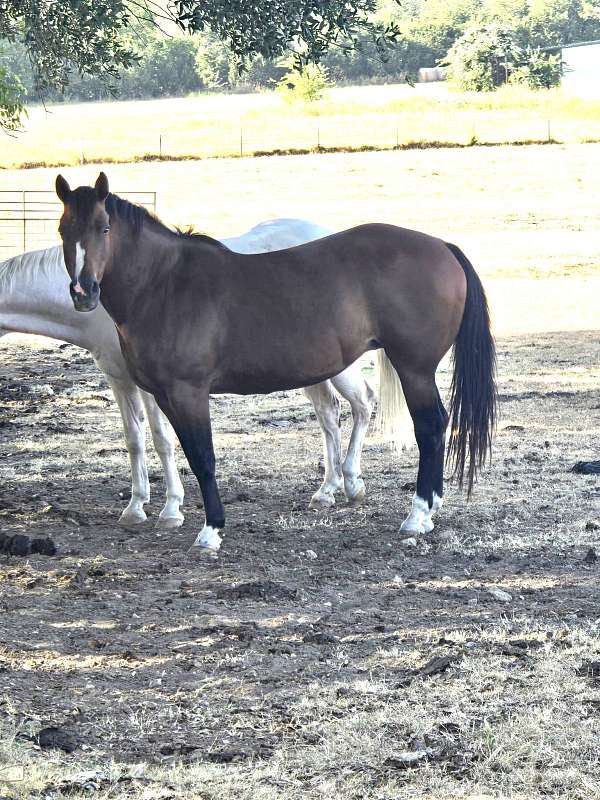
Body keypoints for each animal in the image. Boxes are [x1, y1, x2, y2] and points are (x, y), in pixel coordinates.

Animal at [0, 220, 383, 527]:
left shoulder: (155, 386)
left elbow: (162, 440)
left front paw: (171, 509)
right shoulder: (119, 379)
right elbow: (134, 439)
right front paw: (135, 507)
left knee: (363, 402)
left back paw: (352, 483)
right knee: (328, 414)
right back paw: (326, 491)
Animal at [55, 172, 497, 553]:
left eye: (104, 228)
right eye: (64, 230)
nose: (83, 292)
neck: (165, 284)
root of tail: (442, 246)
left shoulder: (189, 393)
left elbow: (204, 458)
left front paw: (211, 531)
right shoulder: (163, 395)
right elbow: (180, 451)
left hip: (414, 369)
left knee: (431, 427)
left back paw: (418, 515)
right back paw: (428, 509)